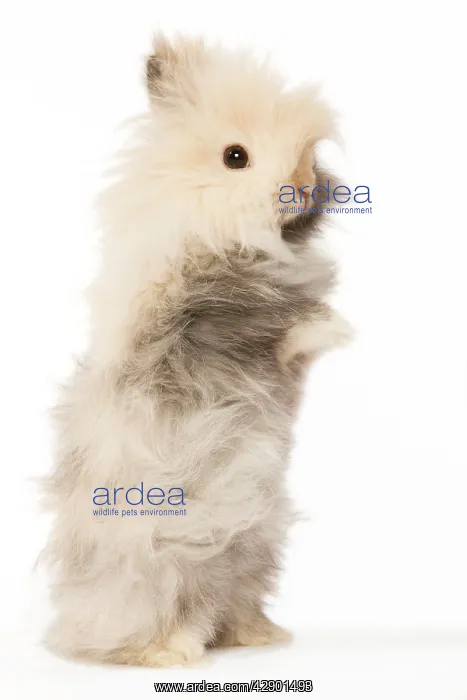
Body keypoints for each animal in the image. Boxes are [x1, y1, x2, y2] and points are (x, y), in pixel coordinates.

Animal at [41, 34, 352, 667]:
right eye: (235, 157)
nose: (308, 183)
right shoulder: (192, 327)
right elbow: (266, 329)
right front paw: (337, 327)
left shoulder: (276, 364)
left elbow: (290, 349)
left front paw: (333, 326)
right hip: (157, 566)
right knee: (148, 624)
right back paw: (174, 651)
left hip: (254, 549)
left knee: (229, 606)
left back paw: (258, 636)